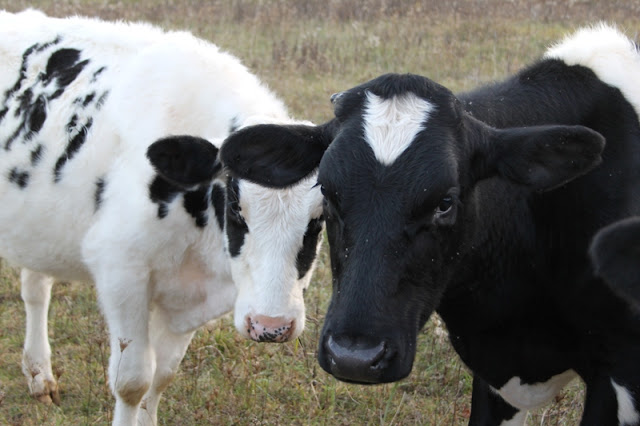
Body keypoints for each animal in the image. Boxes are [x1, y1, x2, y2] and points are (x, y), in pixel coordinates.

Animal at [0, 9, 322, 422]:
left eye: (319, 219)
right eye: (236, 206)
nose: (271, 326)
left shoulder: (190, 296)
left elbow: (163, 375)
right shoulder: (121, 271)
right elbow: (133, 380)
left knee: (36, 288)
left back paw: (39, 374)